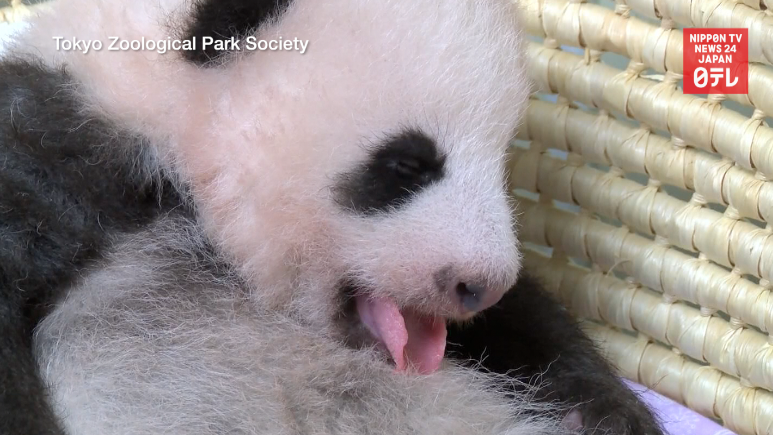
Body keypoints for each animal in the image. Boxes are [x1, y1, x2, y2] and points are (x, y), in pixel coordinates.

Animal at [0, 0, 664, 434]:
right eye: (408, 164)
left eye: (501, 158)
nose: (480, 285)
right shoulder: (64, 147)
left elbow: (528, 322)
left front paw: (605, 412)